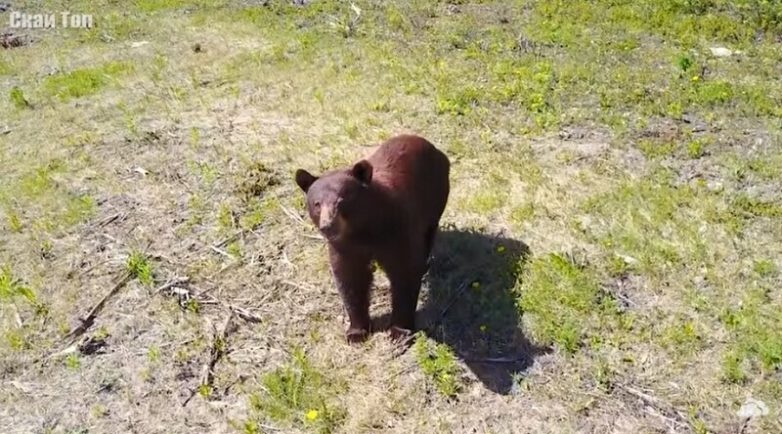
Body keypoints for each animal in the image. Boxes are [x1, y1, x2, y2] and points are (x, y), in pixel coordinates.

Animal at [296, 134, 454, 344]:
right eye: (317, 204)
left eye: (341, 201)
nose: (327, 226)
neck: (364, 229)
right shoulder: (344, 247)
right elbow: (350, 279)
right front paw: (356, 331)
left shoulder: (397, 232)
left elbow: (404, 272)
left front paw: (399, 330)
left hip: (434, 197)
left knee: (428, 234)